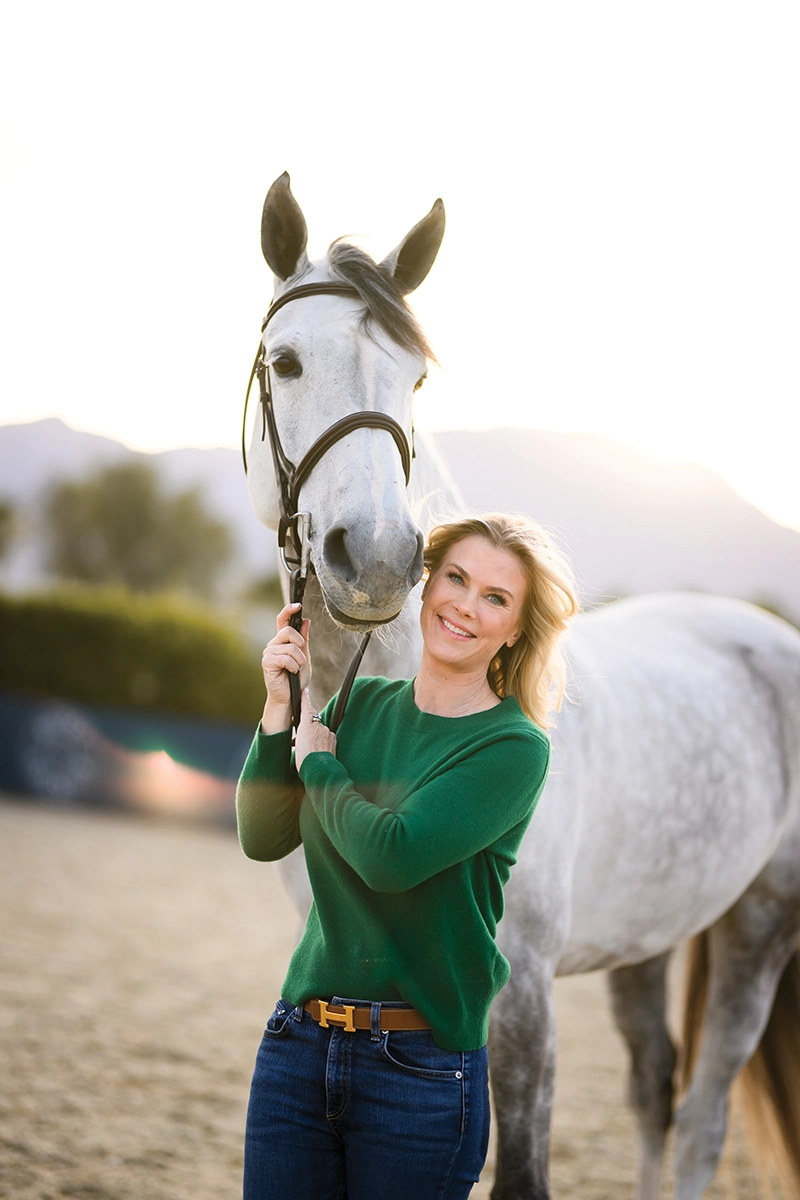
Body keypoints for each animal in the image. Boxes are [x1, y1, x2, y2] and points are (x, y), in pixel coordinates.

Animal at [243, 173, 800, 1200]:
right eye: (287, 362)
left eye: (416, 382)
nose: (375, 559)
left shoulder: (523, 995)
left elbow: (524, 1175)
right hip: (649, 940)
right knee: (656, 1089)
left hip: (759, 932)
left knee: (702, 1118)